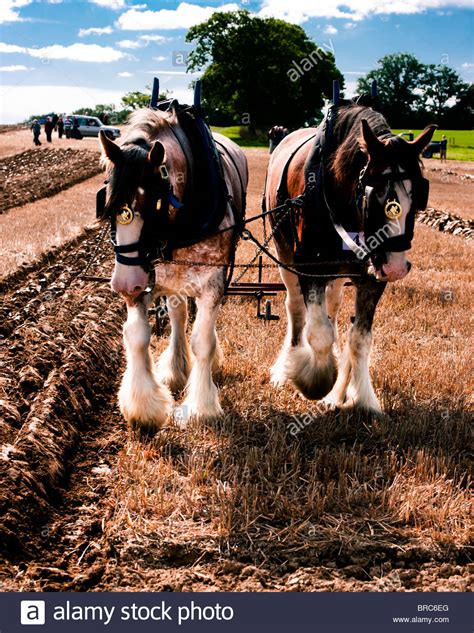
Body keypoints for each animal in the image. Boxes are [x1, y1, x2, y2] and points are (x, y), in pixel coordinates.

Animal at [99, 106, 248, 430]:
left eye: (153, 203)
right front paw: (143, 406)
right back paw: (176, 369)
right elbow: (137, 336)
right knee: (178, 317)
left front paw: (201, 407)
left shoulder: (212, 284)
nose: (123, 284)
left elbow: (203, 341)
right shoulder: (146, 278)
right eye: (109, 203)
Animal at [264, 103, 436, 410]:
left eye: (418, 196)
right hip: (285, 254)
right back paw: (289, 365)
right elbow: (319, 333)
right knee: (296, 309)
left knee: (332, 307)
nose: (395, 268)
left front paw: (359, 397)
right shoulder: (311, 268)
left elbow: (360, 338)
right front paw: (316, 381)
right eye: (375, 194)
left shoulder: (371, 277)